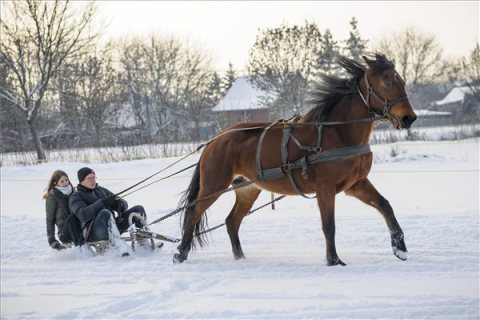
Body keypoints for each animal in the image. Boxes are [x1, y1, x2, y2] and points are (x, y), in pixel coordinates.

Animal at [173, 54, 416, 264]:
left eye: (402, 81)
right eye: (387, 83)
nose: (409, 118)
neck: (337, 132)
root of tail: (215, 139)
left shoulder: (355, 184)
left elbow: (385, 205)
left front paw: (400, 247)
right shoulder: (325, 187)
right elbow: (329, 225)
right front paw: (334, 260)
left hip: (248, 188)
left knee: (232, 221)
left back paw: (240, 257)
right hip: (214, 185)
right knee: (193, 213)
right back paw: (180, 253)